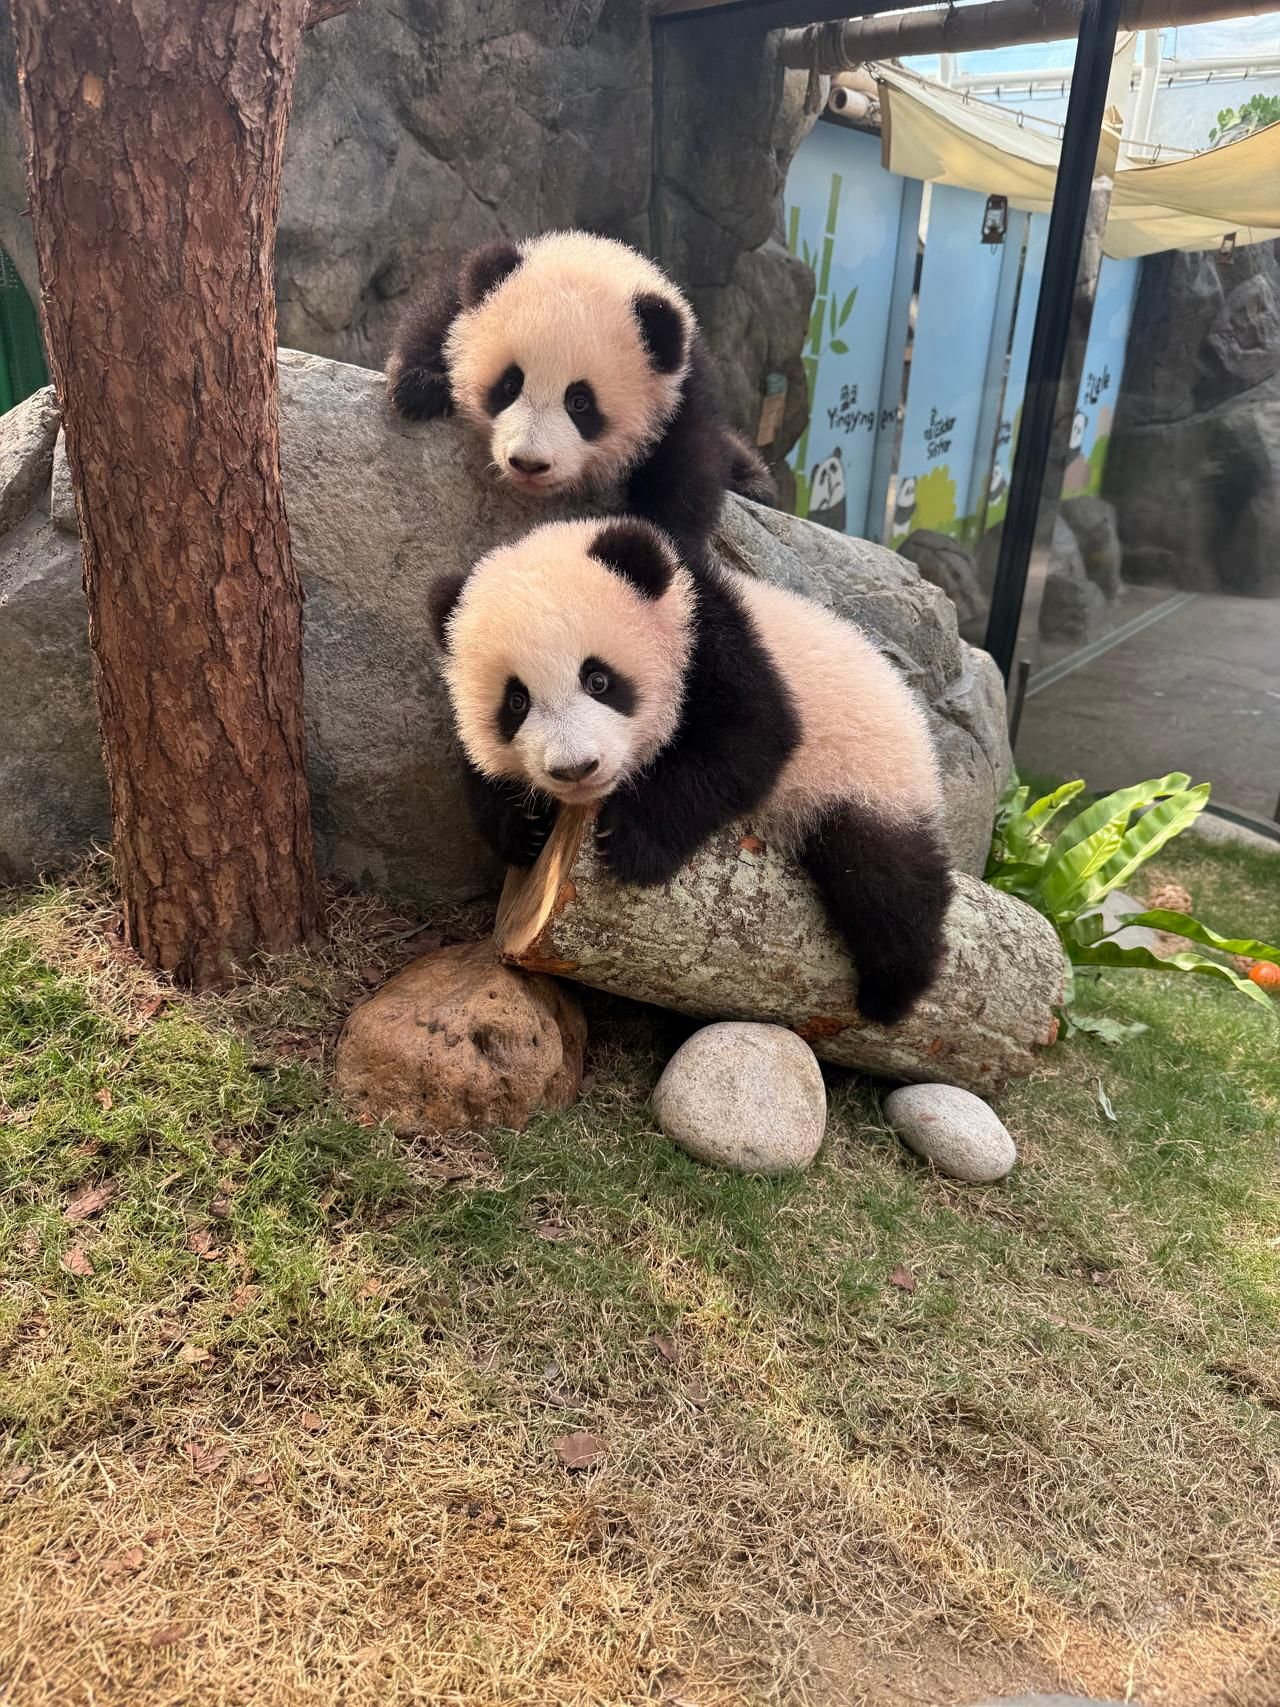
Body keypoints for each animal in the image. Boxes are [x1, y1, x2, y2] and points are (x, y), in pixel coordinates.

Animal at [385, 230, 773, 571]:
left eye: (580, 403)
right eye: (510, 386)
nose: (528, 463)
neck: (600, 262)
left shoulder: (682, 387)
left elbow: (690, 465)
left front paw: (666, 544)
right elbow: (436, 319)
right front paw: (419, 387)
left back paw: (755, 483)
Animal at [430, 516, 953, 1026]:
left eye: (598, 680)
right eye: (515, 702)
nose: (576, 768)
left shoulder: (714, 642)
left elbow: (747, 739)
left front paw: (632, 843)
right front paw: (523, 828)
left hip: (866, 773)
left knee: (883, 878)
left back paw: (893, 989)